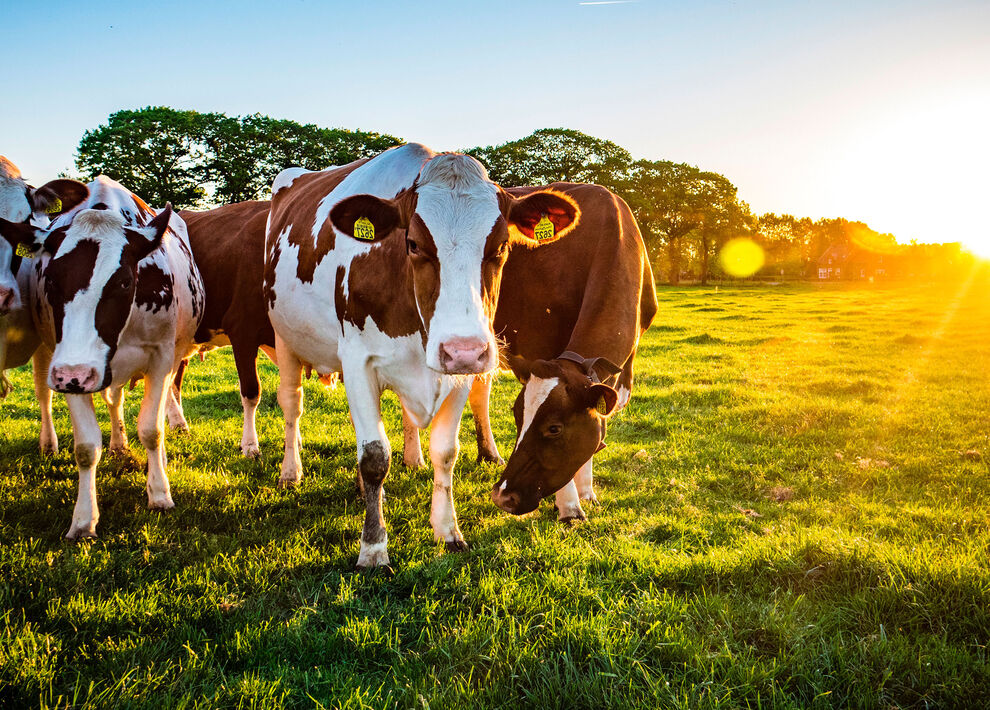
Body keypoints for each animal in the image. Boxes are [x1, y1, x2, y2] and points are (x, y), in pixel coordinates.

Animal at [264, 143, 579, 569]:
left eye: (500, 246)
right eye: (412, 243)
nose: (463, 349)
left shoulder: (458, 373)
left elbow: (445, 452)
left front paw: (448, 531)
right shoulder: (358, 361)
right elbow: (374, 456)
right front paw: (373, 548)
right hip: (284, 339)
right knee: (292, 403)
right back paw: (291, 470)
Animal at [402, 182, 657, 520]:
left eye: (554, 428)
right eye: (517, 416)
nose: (502, 496)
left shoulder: (619, 368)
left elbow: (600, 419)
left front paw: (587, 492)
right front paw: (570, 507)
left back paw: (489, 455)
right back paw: (413, 457)